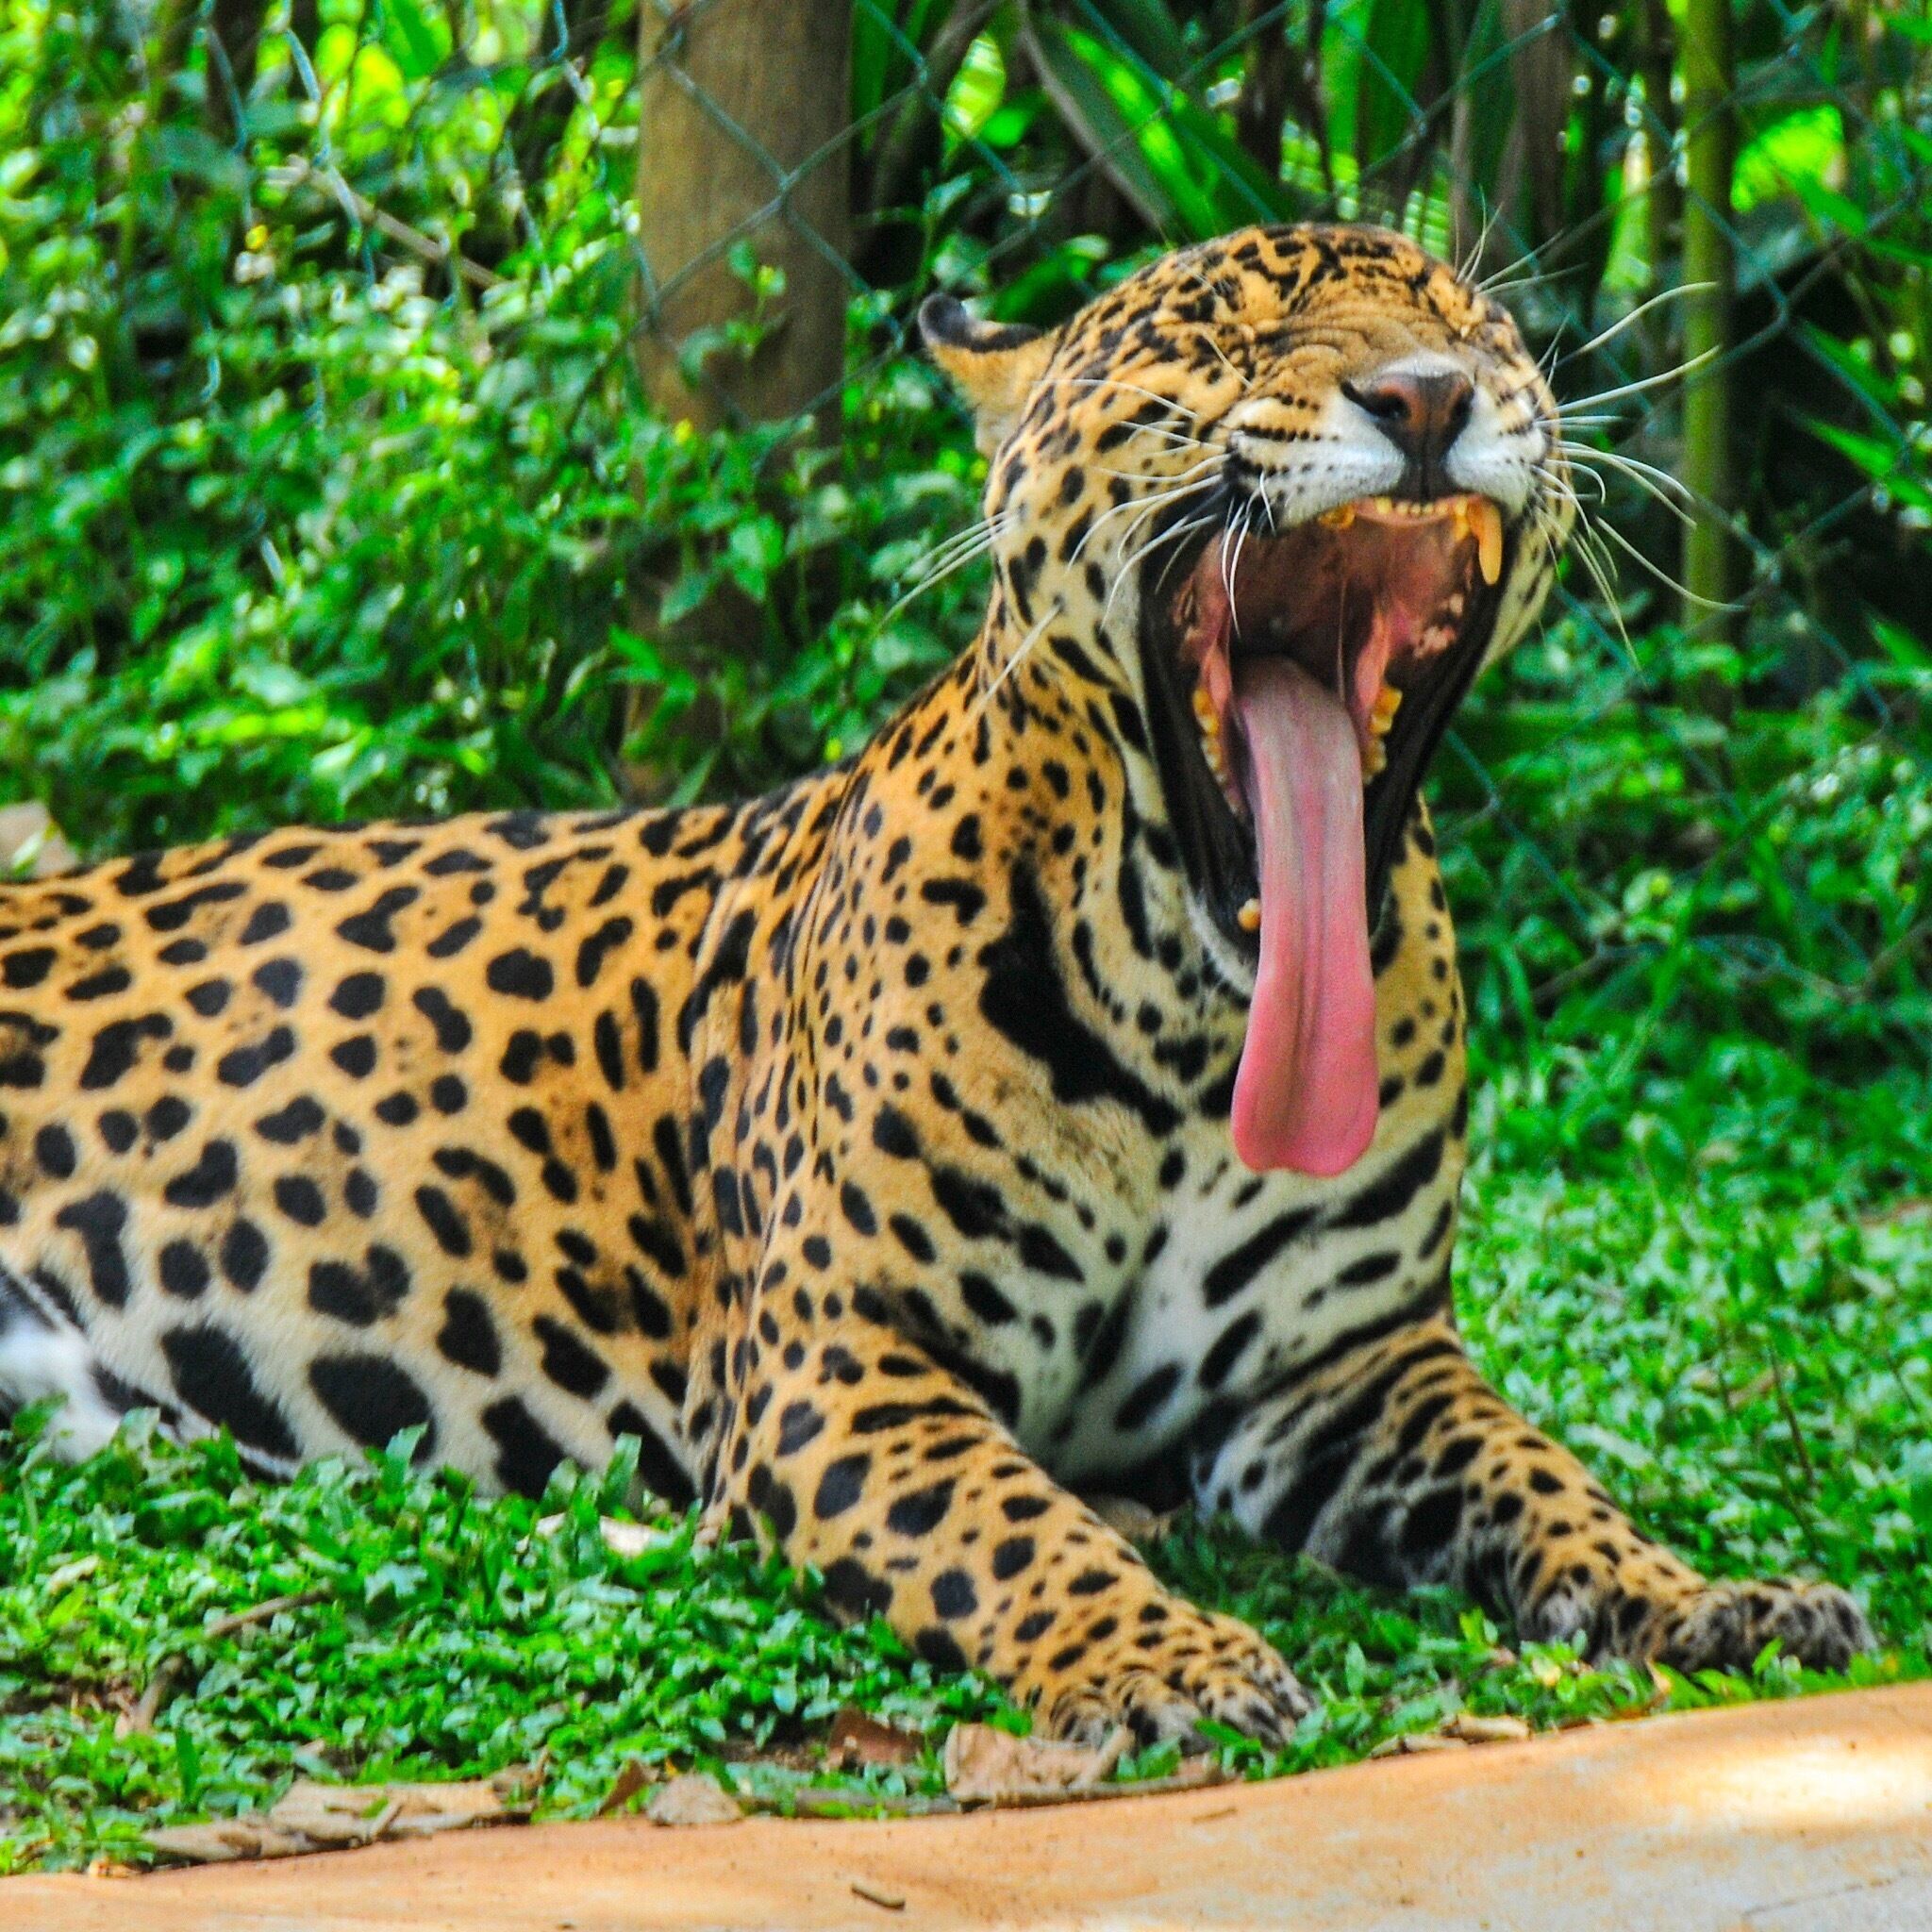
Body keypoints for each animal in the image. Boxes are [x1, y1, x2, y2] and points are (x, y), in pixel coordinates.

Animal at [0, 223, 1872, 1746]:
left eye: (1477, 326)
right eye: (1225, 331)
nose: (1424, 398)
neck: (1191, 1024)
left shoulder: (1347, 1366)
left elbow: (1546, 1479)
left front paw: (1712, 1592)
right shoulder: (841, 1361)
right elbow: (1010, 1527)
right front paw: (1173, 1657)